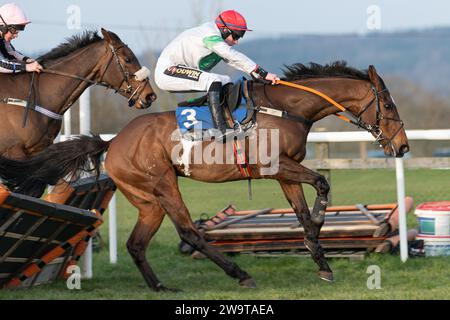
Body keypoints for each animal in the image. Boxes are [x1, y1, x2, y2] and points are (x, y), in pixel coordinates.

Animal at [0, 61, 410, 292]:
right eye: (389, 105)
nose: (403, 146)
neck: (285, 109)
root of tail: (113, 141)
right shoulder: (277, 166)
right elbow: (323, 184)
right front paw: (324, 223)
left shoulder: (286, 172)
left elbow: (304, 217)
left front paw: (322, 264)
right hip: (163, 184)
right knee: (188, 231)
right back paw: (240, 273)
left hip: (147, 199)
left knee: (137, 243)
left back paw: (160, 286)